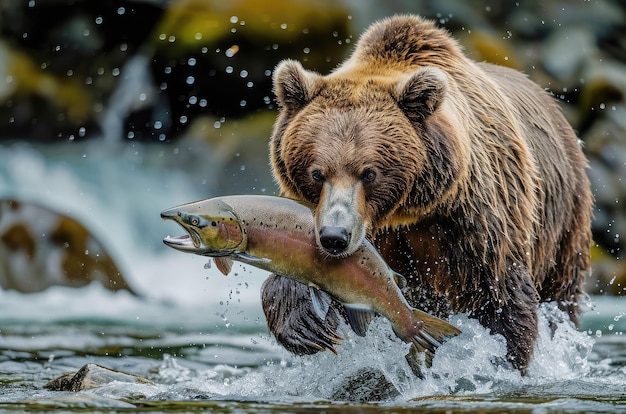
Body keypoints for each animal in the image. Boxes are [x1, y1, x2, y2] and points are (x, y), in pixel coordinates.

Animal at [258, 14, 588, 374]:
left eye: (369, 173)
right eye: (317, 173)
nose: (335, 236)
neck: (405, 212)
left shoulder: (472, 224)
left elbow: (502, 298)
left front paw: (503, 359)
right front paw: (305, 322)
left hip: (563, 220)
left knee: (561, 295)